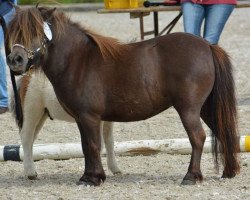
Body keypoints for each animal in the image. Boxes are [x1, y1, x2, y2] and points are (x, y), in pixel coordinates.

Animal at [6, 6, 239, 187]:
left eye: (36, 31)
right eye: (13, 31)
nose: (15, 60)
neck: (79, 59)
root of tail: (207, 46)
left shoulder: (89, 116)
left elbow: (93, 145)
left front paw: (93, 179)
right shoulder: (82, 118)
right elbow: (86, 146)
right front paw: (90, 176)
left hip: (189, 108)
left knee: (198, 137)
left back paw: (191, 176)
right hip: (207, 108)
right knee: (223, 132)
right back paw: (228, 172)